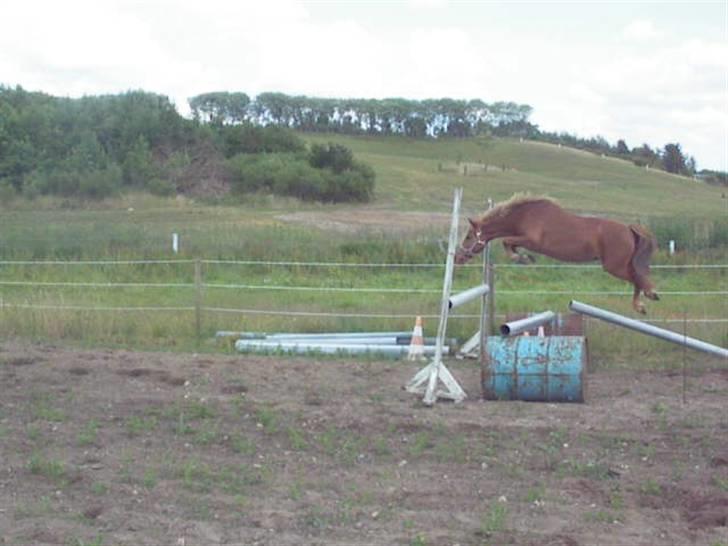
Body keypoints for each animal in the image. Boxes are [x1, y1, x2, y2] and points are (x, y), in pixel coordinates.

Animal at [456, 193, 660, 312]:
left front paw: (522, 258)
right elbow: (510, 244)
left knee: (637, 278)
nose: (457, 258)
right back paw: (644, 301)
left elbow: (507, 242)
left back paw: (646, 300)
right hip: (620, 264)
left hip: (613, 266)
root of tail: (629, 229)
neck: (525, 215)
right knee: (638, 276)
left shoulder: (532, 241)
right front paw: (525, 258)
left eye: (468, 236)